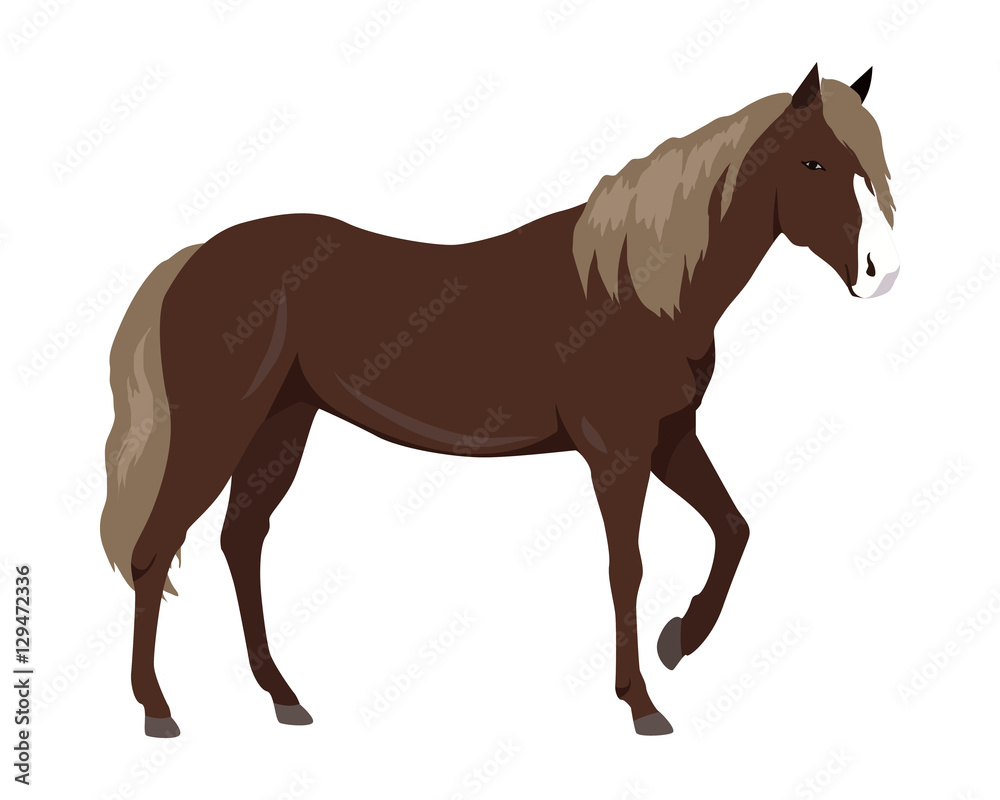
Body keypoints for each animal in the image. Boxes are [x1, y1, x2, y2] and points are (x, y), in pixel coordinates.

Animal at [101, 64, 899, 738]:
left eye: (872, 162)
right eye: (814, 163)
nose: (880, 273)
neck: (640, 289)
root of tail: (192, 261)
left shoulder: (670, 438)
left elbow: (733, 529)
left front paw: (681, 641)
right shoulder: (620, 452)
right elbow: (628, 567)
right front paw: (641, 704)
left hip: (281, 425)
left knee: (242, 539)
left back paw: (283, 696)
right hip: (217, 430)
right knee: (154, 549)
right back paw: (157, 710)